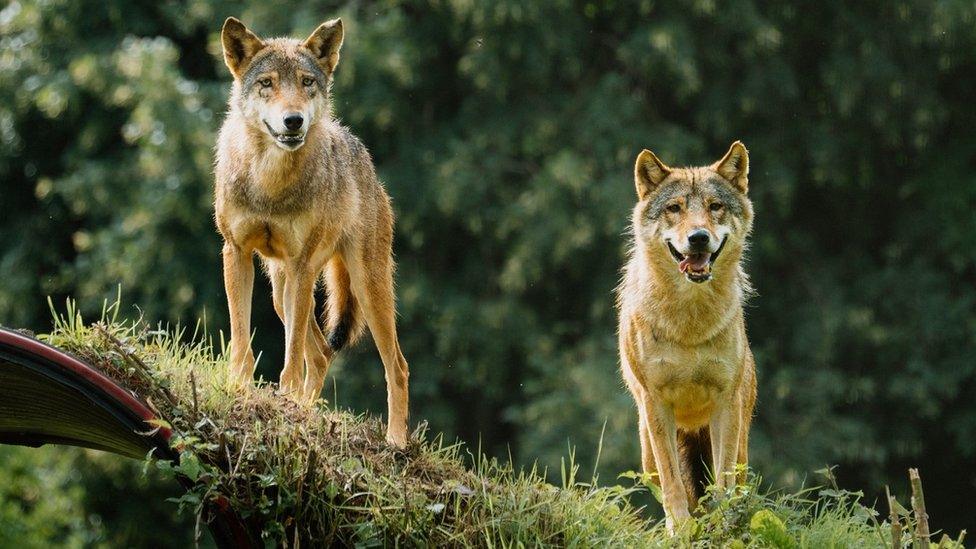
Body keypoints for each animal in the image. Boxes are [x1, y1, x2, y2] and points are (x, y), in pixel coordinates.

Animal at [215, 16, 410, 446]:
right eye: (267, 83)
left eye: (307, 82)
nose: (294, 120)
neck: (269, 181)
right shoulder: (236, 253)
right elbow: (241, 341)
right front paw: (240, 389)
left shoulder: (302, 265)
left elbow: (290, 359)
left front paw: (283, 399)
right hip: (279, 290)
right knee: (320, 355)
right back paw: (305, 411)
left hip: (366, 289)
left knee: (397, 367)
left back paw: (396, 442)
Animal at [612, 141, 760, 532]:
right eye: (675, 208)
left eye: (715, 206)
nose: (698, 238)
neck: (689, 324)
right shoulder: (656, 403)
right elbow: (674, 483)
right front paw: (678, 529)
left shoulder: (726, 403)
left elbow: (723, 481)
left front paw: (723, 524)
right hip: (647, 453)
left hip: (739, 439)